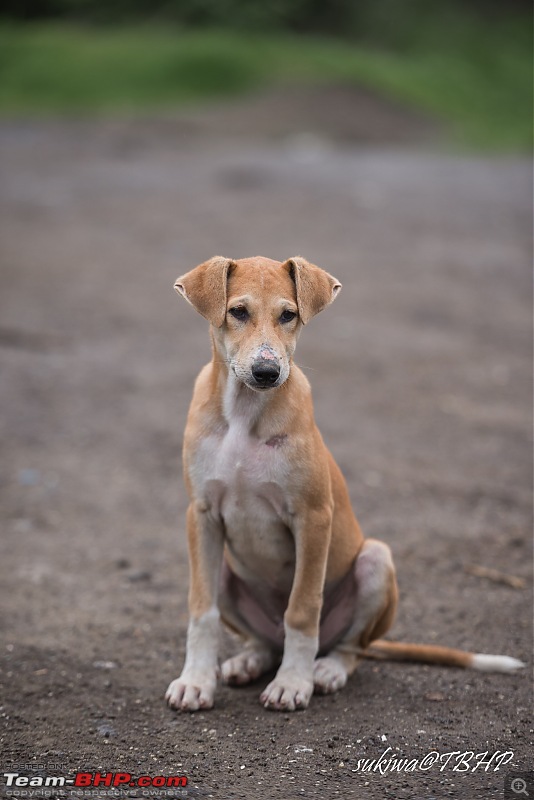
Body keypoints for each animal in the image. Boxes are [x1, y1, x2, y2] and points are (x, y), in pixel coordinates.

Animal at [169, 255, 528, 712]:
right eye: (238, 312)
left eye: (288, 315)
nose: (267, 371)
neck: (245, 414)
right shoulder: (201, 515)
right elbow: (202, 609)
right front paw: (196, 682)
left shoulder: (313, 517)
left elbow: (302, 609)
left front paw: (293, 683)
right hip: (230, 574)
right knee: (265, 641)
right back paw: (249, 660)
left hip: (375, 561)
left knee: (349, 646)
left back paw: (325, 670)